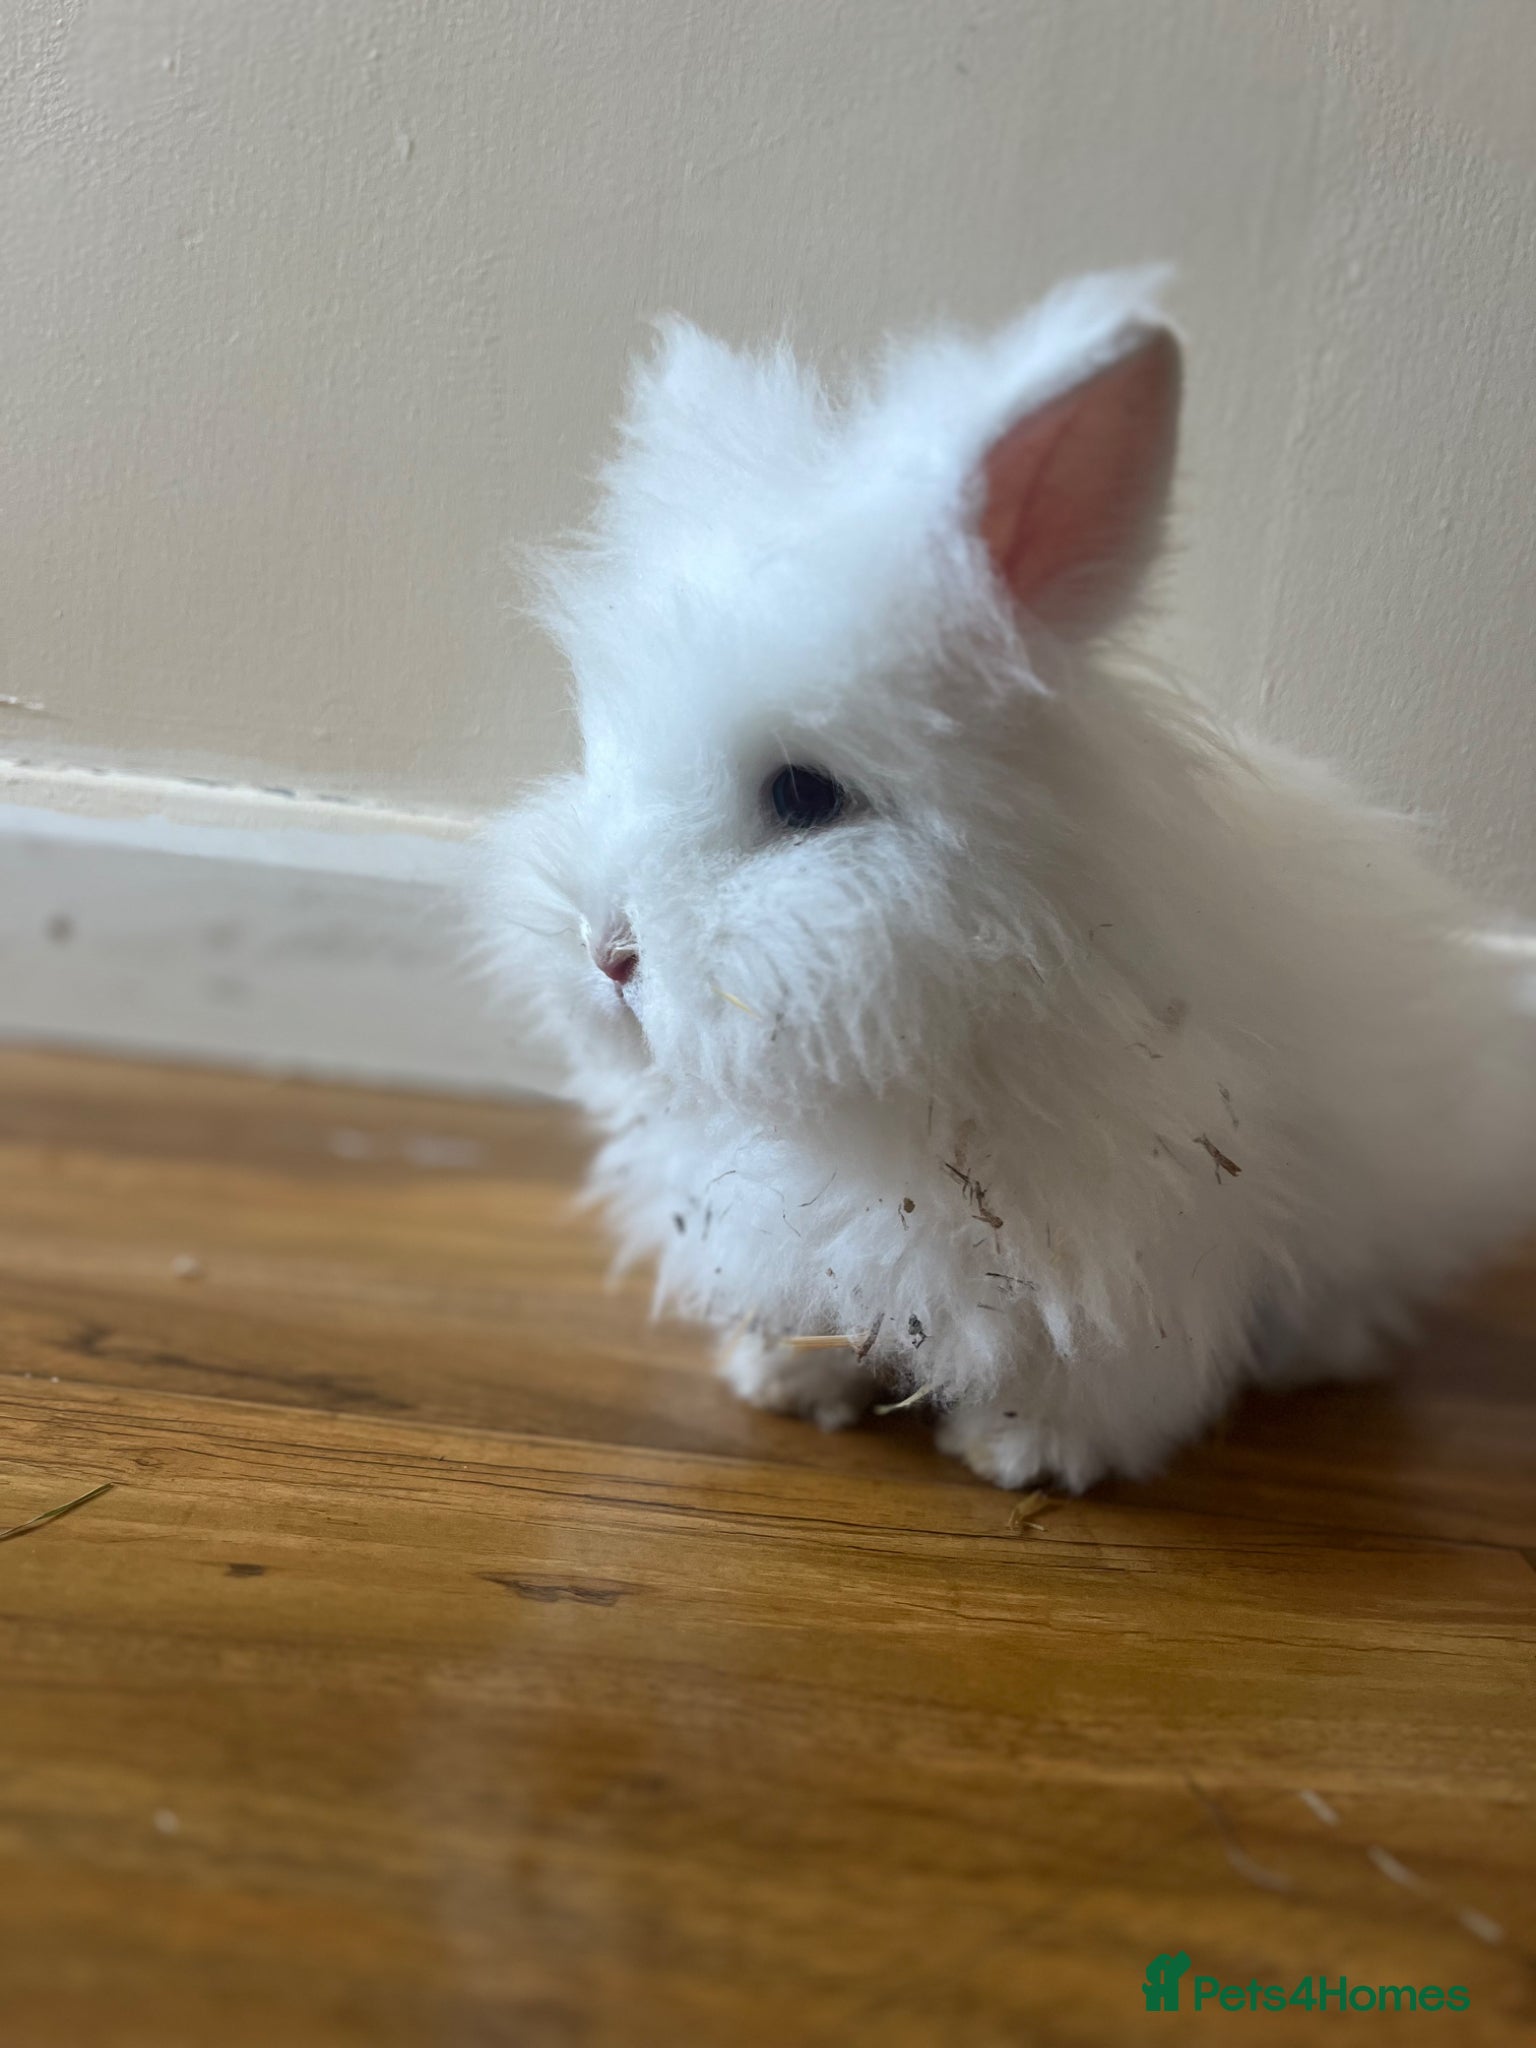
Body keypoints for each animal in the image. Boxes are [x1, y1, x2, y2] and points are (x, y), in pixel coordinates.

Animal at [478, 269, 1536, 1491]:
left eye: (804, 794)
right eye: (603, 745)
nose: (606, 953)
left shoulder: (1145, 1250)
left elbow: (1101, 1371)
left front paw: (1029, 1457)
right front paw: (782, 1384)